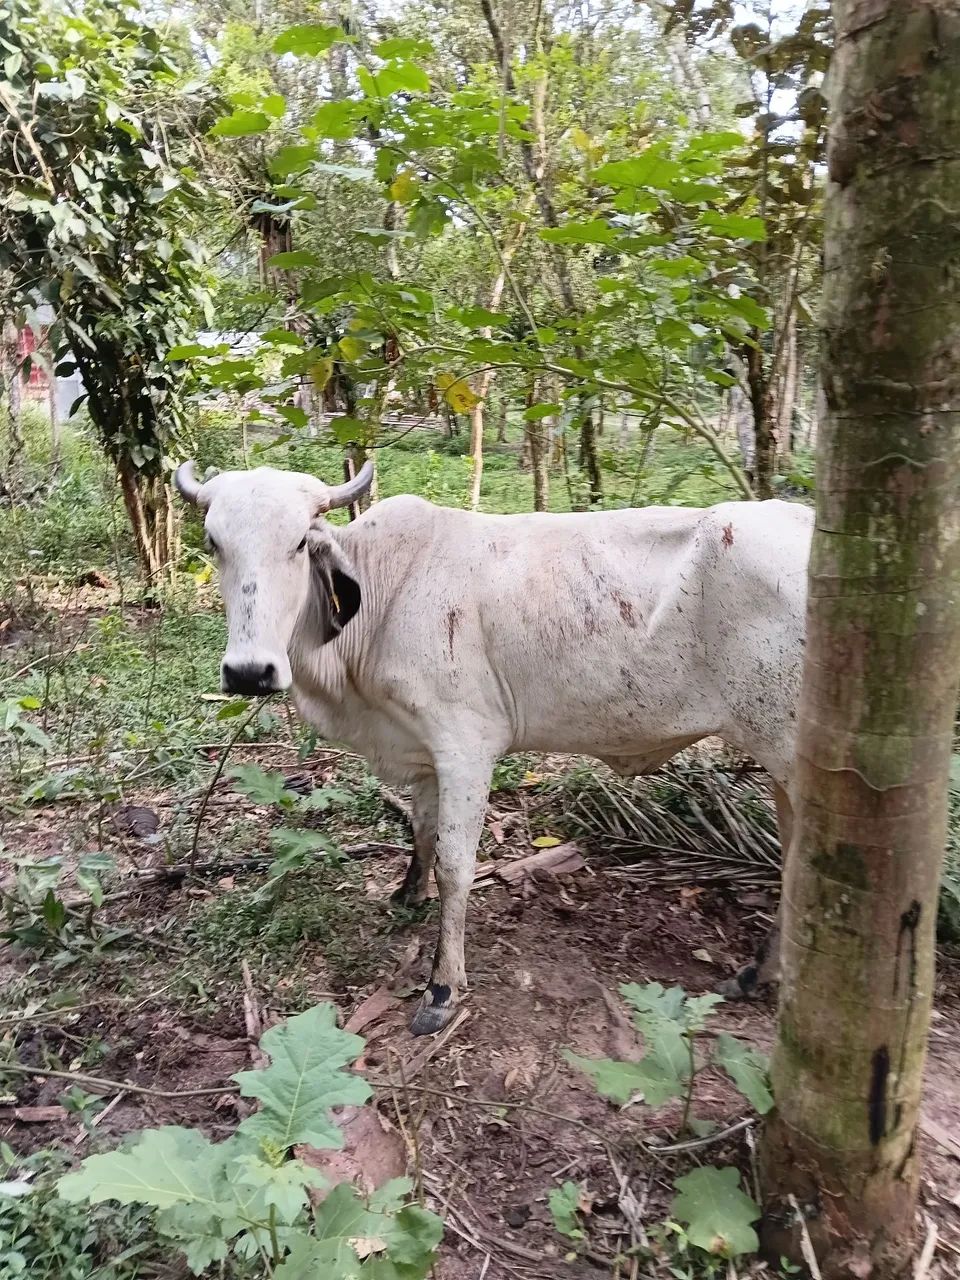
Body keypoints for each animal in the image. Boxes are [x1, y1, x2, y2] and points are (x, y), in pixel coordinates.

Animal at [175, 458, 811, 1035]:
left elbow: (456, 864)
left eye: (300, 542)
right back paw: (761, 973)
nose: (250, 672)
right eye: (213, 542)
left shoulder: (465, 746)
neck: (383, 597)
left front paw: (442, 987)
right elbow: (423, 830)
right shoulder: (425, 753)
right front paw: (408, 893)